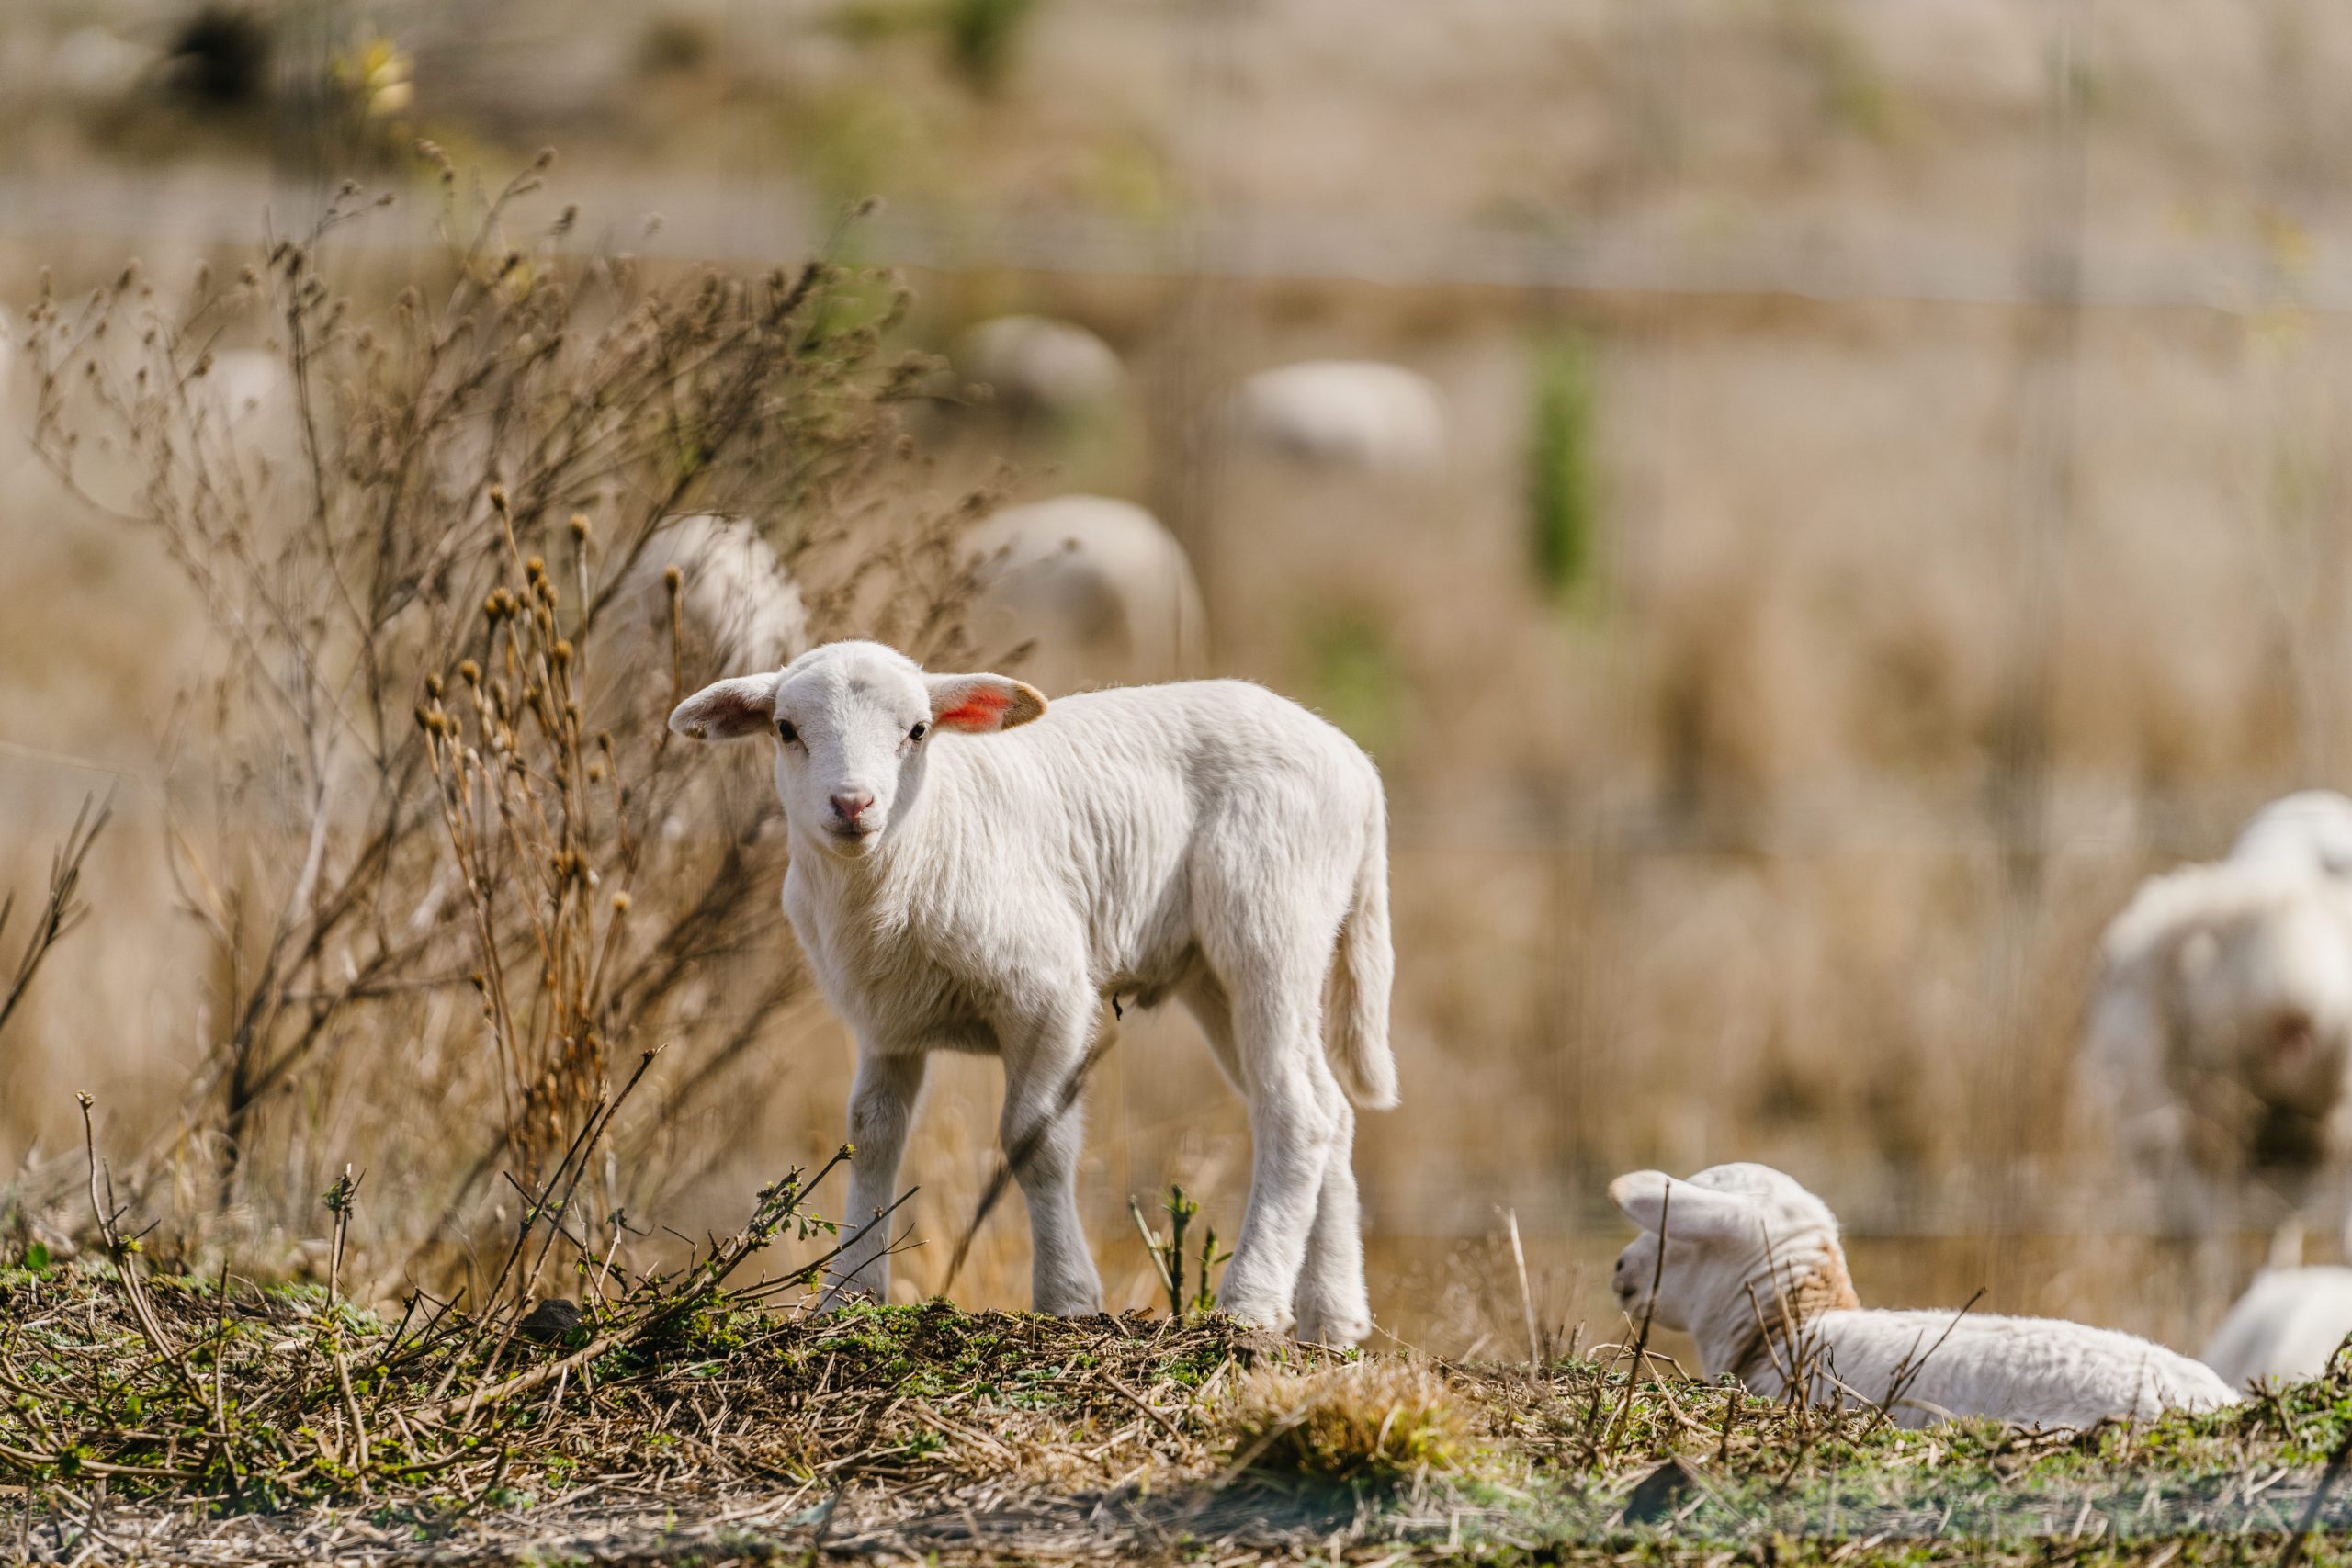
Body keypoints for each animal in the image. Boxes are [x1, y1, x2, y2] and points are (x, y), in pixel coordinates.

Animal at [668, 644, 1392, 1344]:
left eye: (918, 730)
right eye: (786, 730)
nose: (853, 805)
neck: (912, 855)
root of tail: (1355, 764)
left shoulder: (1048, 995)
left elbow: (1034, 1140)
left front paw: (1069, 1297)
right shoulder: (884, 1020)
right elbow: (872, 1134)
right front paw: (847, 1295)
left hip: (1270, 920)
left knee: (1296, 1110)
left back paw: (1250, 1305)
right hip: (1216, 974)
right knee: (1329, 1107)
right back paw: (1334, 1316)